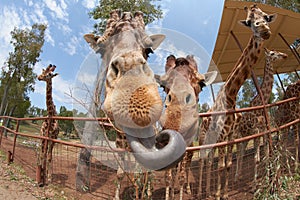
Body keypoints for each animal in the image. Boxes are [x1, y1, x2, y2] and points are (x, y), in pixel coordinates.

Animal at [156, 55, 217, 200]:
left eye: (201, 84)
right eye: (163, 85)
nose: (174, 119)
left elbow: (182, 177)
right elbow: (168, 176)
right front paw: (171, 194)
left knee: (187, 169)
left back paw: (188, 190)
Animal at [197, 4, 276, 198]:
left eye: (265, 16)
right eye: (248, 22)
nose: (265, 30)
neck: (231, 95)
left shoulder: (231, 136)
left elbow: (228, 165)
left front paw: (224, 194)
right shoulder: (221, 136)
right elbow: (220, 167)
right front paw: (218, 194)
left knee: (209, 161)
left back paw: (208, 190)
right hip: (203, 139)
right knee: (203, 161)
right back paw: (201, 191)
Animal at [236, 48, 288, 183]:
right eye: (273, 53)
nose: (285, 55)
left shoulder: (263, 130)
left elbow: (266, 151)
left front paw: (269, 173)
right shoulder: (256, 132)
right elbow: (257, 158)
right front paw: (256, 182)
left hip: (247, 137)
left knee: (242, 154)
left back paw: (239, 176)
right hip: (241, 136)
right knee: (239, 154)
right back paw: (236, 176)